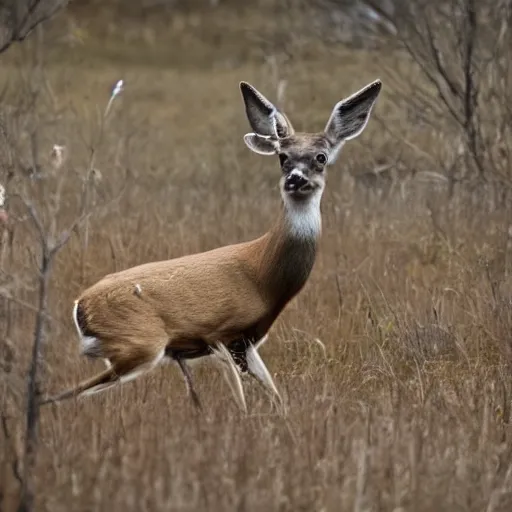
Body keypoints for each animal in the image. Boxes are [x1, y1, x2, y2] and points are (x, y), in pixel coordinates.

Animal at [42, 77, 382, 412]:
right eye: (282, 158)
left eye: (321, 157)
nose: (295, 179)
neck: (263, 274)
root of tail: (80, 305)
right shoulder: (221, 331)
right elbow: (243, 402)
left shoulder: (239, 342)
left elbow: (274, 398)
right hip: (138, 341)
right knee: (66, 393)